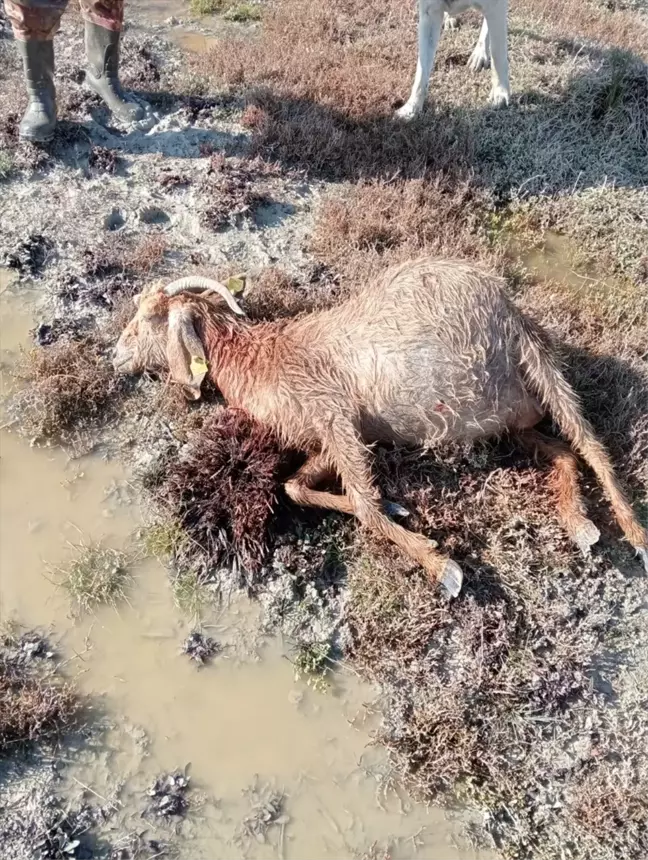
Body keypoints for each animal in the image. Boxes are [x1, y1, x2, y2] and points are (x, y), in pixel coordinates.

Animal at [114, 260, 644, 596]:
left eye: (149, 317)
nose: (115, 355)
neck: (262, 359)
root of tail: (508, 307)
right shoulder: (335, 434)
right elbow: (294, 487)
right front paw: (398, 508)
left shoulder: (332, 412)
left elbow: (365, 507)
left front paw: (440, 565)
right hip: (513, 414)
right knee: (565, 450)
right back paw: (580, 524)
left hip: (537, 363)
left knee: (593, 444)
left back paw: (635, 535)